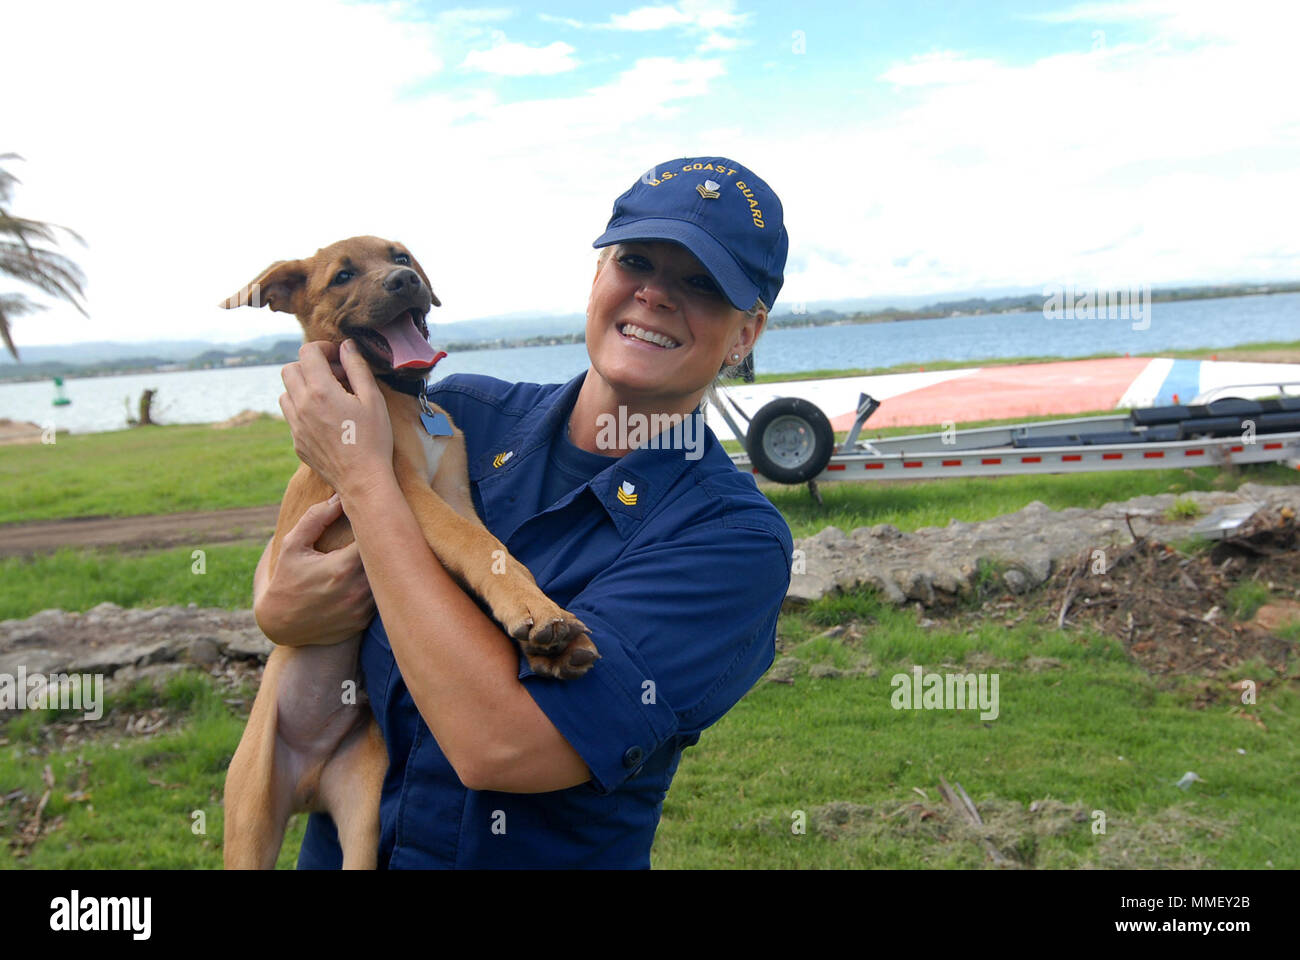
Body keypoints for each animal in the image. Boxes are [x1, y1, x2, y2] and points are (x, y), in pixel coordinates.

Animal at [220, 234, 595, 868]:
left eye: (399, 256)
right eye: (343, 275)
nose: (404, 281)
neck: (402, 399)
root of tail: (308, 780)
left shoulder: (453, 495)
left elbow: (491, 550)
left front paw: (544, 634)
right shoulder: (408, 495)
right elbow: (480, 548)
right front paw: (537, 613)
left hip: (364, 809)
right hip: (248, 821)